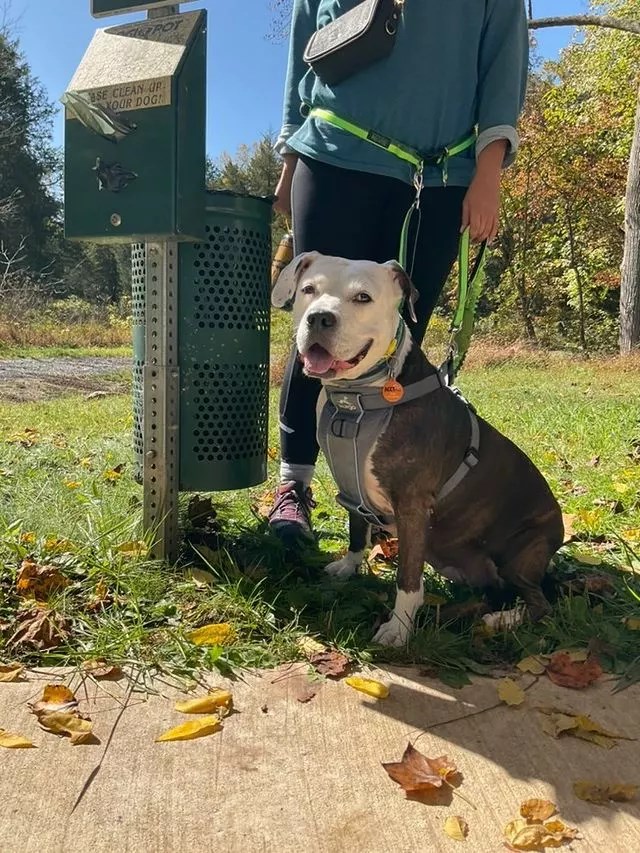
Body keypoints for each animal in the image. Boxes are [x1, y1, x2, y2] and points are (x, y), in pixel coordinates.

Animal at [272, 253, 564, 644]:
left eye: (362, 297)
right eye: (309, 289)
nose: (319, 317)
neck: (356, 398)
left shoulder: (411, 505)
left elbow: (407, 576)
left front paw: (398, 628)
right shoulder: (351, 489)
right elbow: (356, 531)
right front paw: (349, 566)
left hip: (522, 551)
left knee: (540, 604)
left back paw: (501, 621)